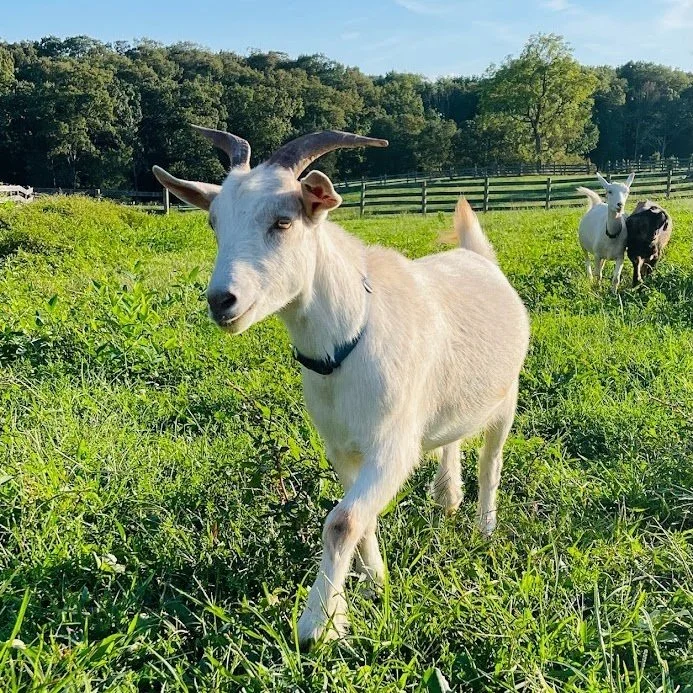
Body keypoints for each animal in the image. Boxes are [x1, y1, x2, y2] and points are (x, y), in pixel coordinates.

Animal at [152, 127, 530, 646]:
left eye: (284, 221)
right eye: (214, 222)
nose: (221, 300)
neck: (349, 340)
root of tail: (477, 257)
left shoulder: (392, 446)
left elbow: (342, 521)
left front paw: (319, 624)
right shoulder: (342, 448)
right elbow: (361, 521)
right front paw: (375, 586)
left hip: (506, 397)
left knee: (491, 464)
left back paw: (483, 529)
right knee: (451, 438)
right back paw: (447, 498)